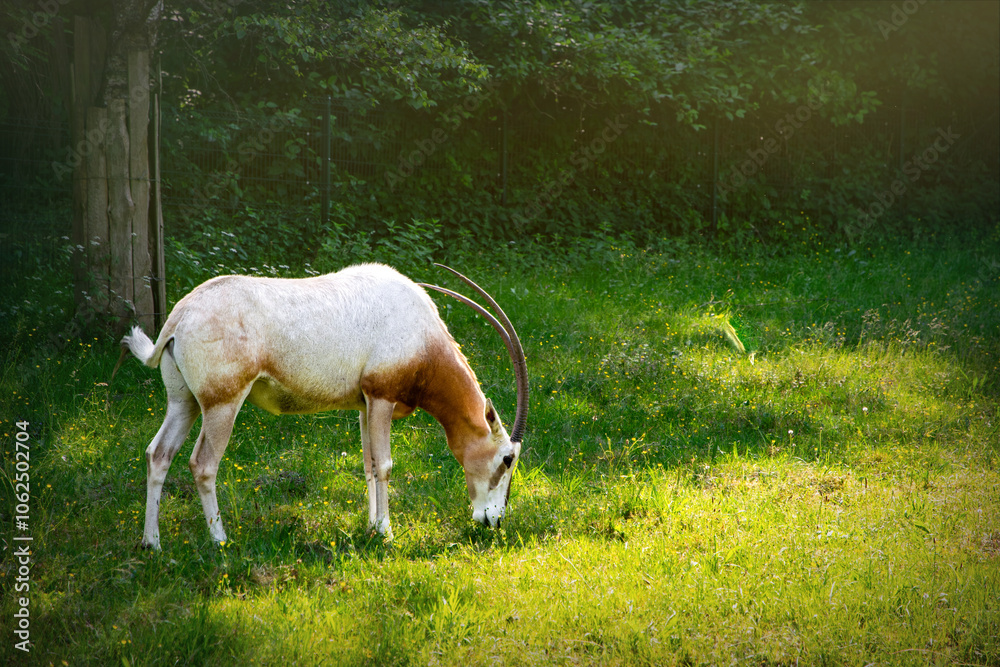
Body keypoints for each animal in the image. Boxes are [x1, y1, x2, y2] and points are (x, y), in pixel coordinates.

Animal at [118, 263, 528, 549]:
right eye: (507, 459)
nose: (493, 521)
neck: (422, 334)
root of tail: (182, 313)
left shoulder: (364, 405)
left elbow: (368, 464)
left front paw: (371, 526)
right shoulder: (382, 397)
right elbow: (385, 465)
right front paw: (386, 532)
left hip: (183, 401)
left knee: (159, 454)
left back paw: (152, 543)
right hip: (222, 404)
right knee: (203, 464)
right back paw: (220, 541)